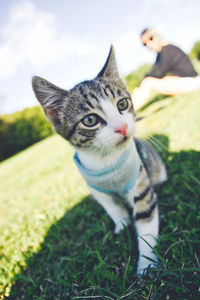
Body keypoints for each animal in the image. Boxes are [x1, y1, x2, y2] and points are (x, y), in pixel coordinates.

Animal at [32, 45, 166, 276]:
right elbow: (112, 207)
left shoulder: (140, 182)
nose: (122, 127)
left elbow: (146, 218)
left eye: (123, 103)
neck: (106, 160)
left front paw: (146, 265)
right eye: (90, 120)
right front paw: (122, 224)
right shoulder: (96, 188)